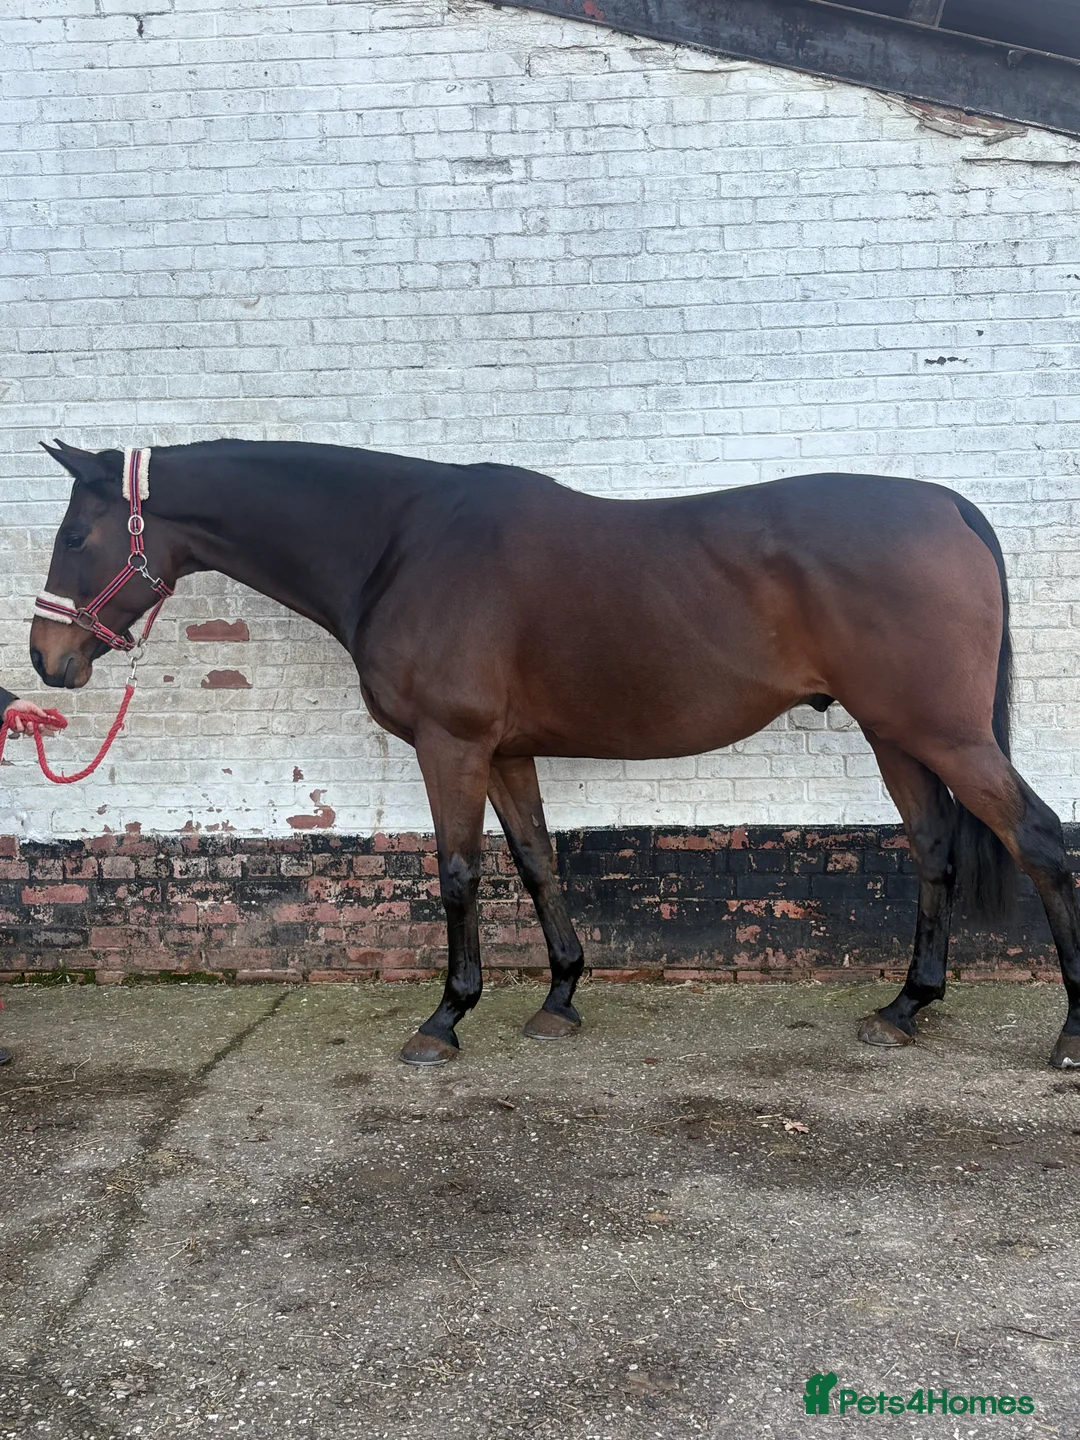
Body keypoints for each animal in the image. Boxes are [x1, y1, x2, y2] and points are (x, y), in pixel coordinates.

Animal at [29, 438, 1080, 1070]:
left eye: (76, 534)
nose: (48, 660)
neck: (401, 544)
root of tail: (948, 508)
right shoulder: (503, 751)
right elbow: (536, 859)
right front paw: (561, 996)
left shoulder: (451, 745)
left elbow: (457, 871)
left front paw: (445, 1019)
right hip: (895, 732)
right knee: (936, 848)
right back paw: (905, 1007)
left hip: (941, 732)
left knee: (1036, 839)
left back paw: (1068, 1032)